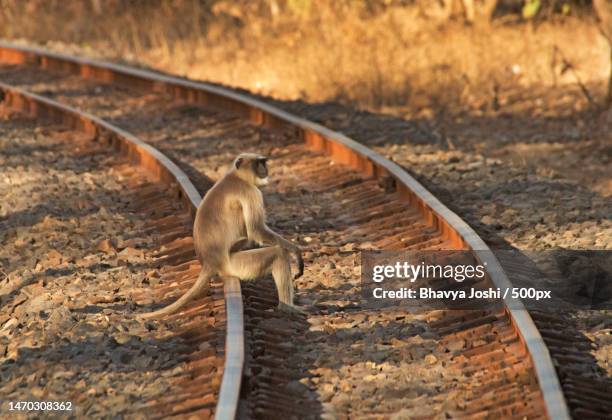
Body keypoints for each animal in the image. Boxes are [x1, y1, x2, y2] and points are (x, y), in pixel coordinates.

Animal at [141, 153, 304, 320]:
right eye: (258, 163)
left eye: (263, 162)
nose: (265, 168)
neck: (236, 176)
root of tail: (209, 263)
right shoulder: (250, 192)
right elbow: (256, 230)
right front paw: (296, 252)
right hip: (236, 265)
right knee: (278, 254)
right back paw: (287, 308)